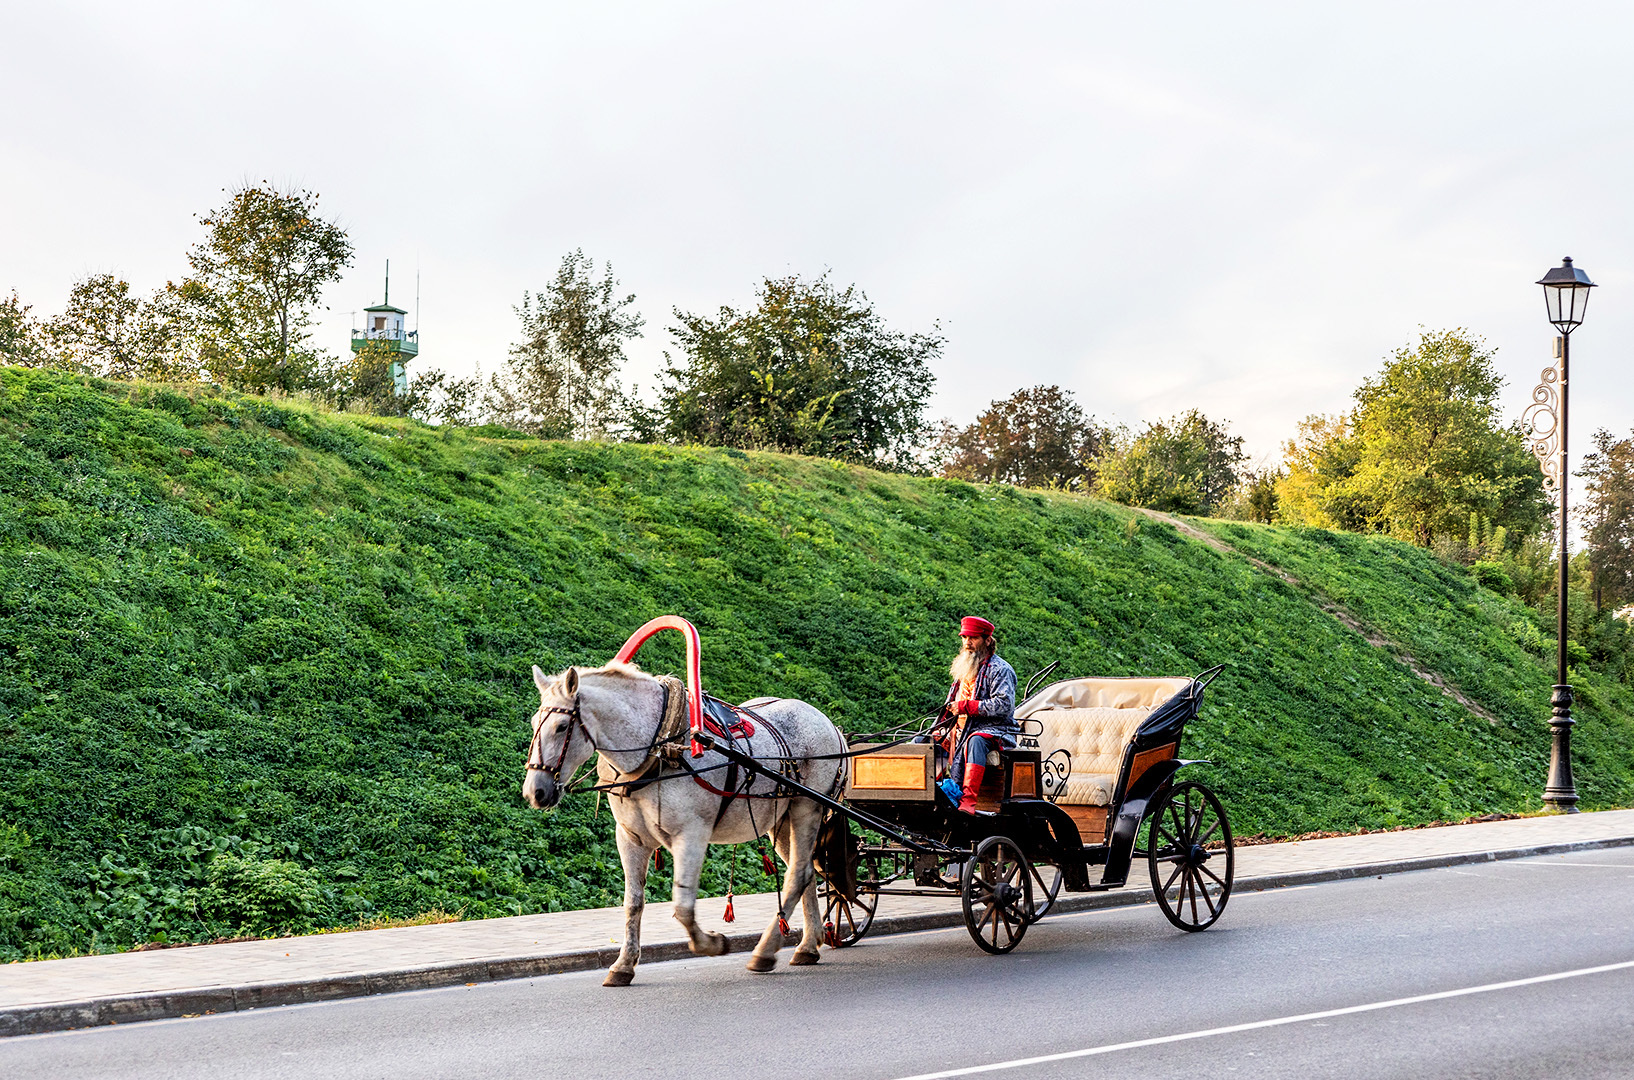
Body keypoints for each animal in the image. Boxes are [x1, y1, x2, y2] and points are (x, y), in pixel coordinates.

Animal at [522, 660, 849, 980]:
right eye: (534, 724)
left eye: (562, 726)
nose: (535, 792)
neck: (658, 747)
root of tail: (830, 725)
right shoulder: (629, 838)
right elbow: (633, 902)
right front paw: (624, 964)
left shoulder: (691, 835)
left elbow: (682, 906)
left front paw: (711, 943)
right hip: (780, 822)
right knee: (805, 871)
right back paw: (808, 945)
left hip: (807, 807)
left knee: (797, 875)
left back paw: (766, 950)